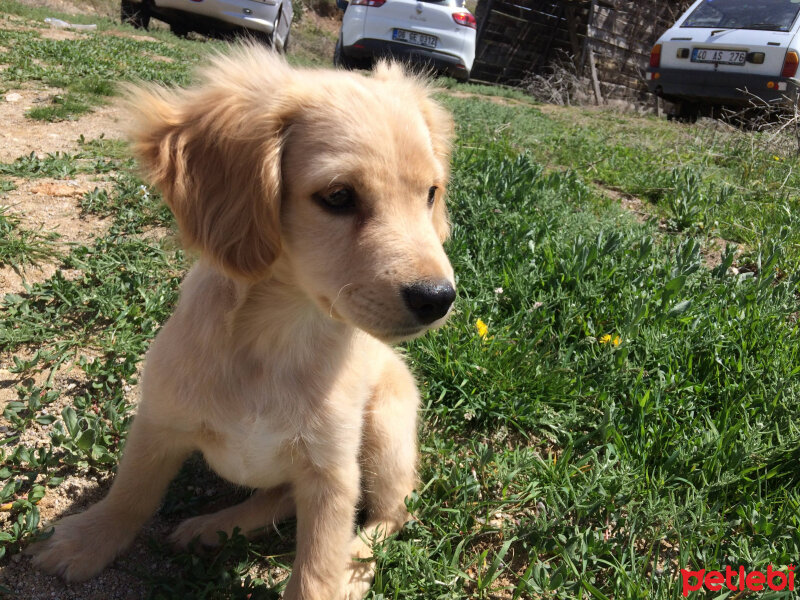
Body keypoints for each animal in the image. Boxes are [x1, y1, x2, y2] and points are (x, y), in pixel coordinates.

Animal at [29, 44, 456, 596]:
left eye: (430, 194)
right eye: (338, 197)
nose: (438, 298)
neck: (279, 336)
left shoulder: (333, 473)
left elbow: (315, 570)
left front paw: (332, 573)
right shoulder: (158, 419)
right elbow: (131, 492)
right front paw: (89, 539)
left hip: (385, 430)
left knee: (394, 512)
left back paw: (352, 563)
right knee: (282, 498)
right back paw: (214, 527)